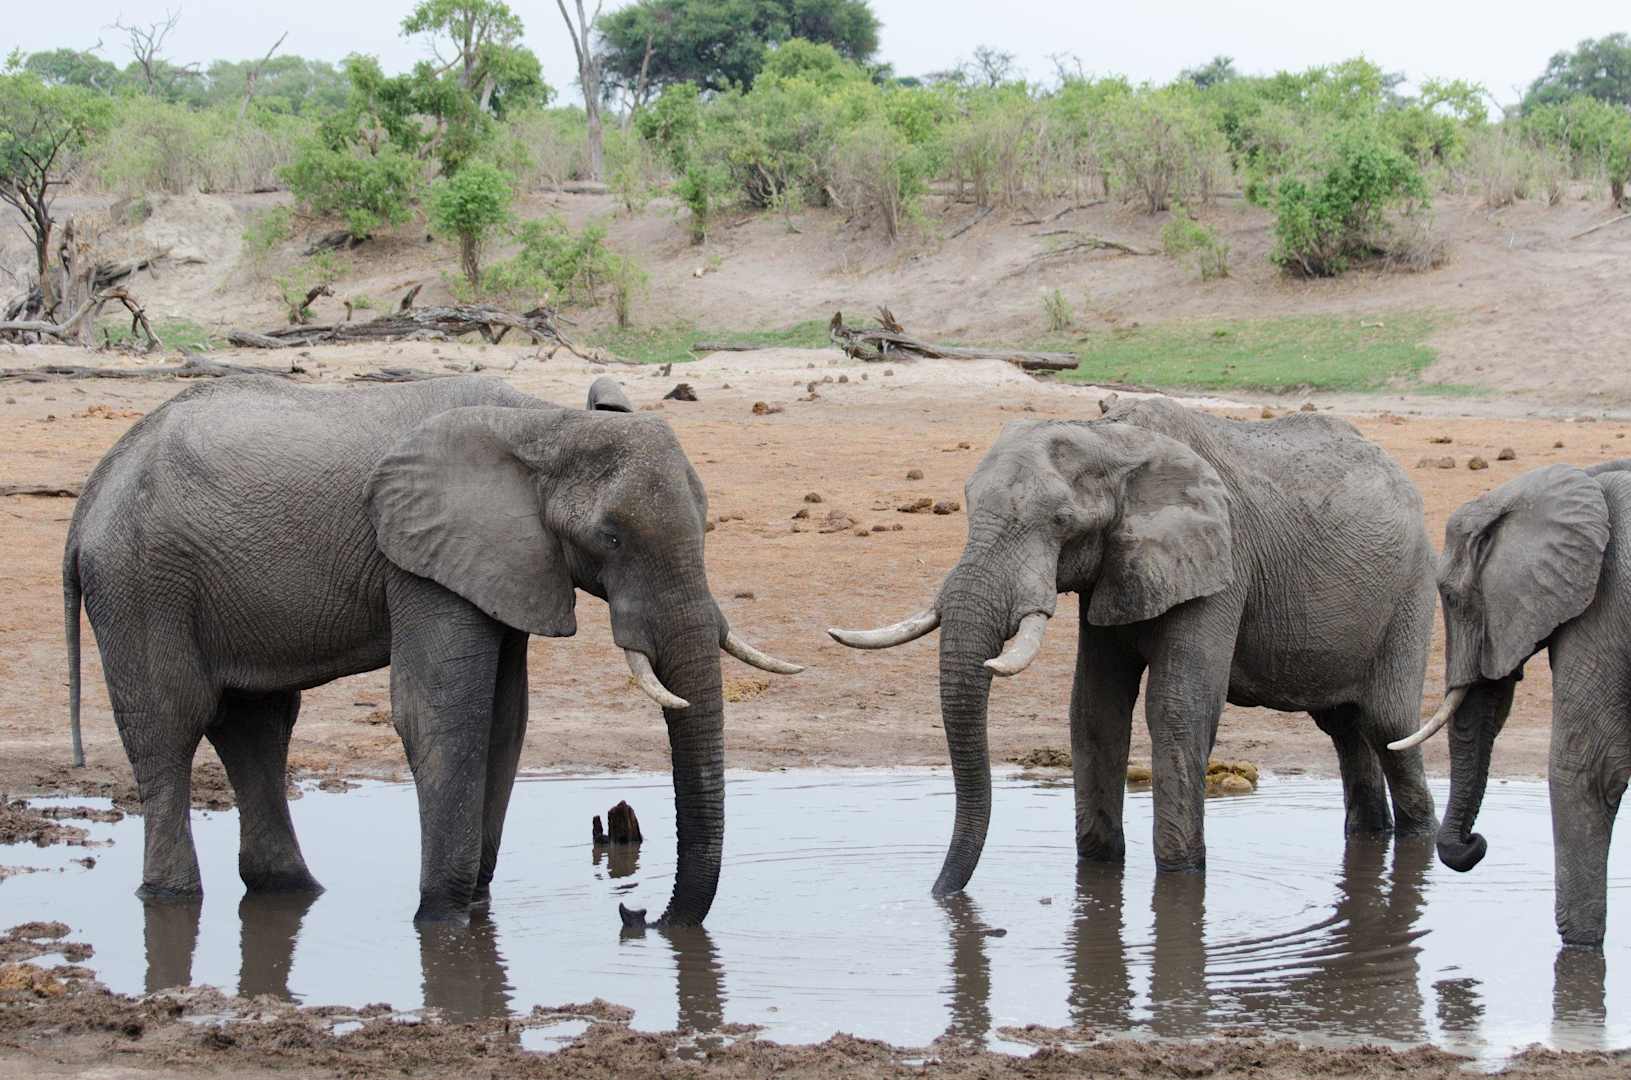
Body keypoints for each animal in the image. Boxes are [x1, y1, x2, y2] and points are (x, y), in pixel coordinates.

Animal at [63, 373, 800, 926]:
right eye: (611, 537)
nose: (639, 915)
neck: (544, 425)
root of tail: (91, 493)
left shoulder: (507, 562)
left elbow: (505, 720)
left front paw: (473, 906)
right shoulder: (421, 558)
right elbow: (443, 714)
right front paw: (442, 921)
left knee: (258, 726)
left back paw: (291, 891)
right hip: (140, 581)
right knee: (171, 726)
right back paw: (172, 898)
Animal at [831, 397, 1438, 895]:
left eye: (1062, 521)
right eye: (966, 504)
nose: (940, 894)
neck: (1112, 441)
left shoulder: (1221, 563)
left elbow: (1177, 708)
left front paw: (1181, 874)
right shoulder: (1113, 568)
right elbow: (1094, 709)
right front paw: (1099, 869)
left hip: (1412, 585)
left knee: (1387, 722)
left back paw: (1421, 839)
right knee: (1344, 727)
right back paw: (1372, 837)